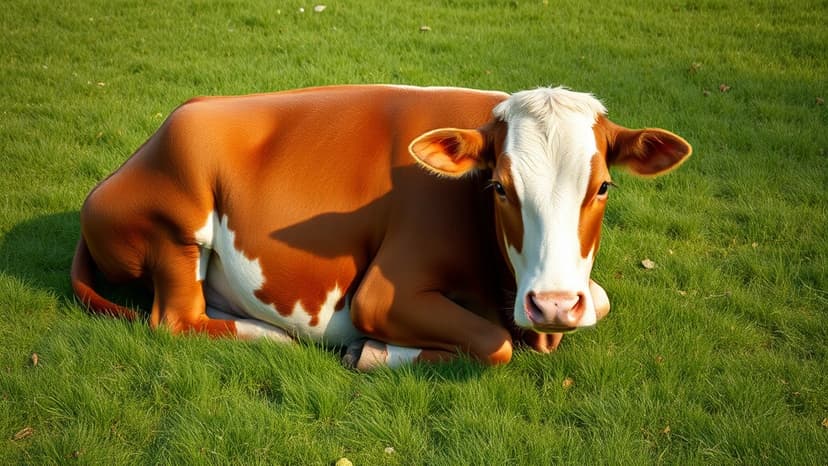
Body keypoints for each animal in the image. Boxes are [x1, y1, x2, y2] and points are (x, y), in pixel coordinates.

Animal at [71, 85, 691, 371]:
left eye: (603, 187)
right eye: (499, 187)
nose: (555, 304)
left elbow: (600, 300)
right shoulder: (383, 291)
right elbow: (494, 344)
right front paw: (369, 352)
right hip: (176, 229)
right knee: (175, 320)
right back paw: (274, 336)